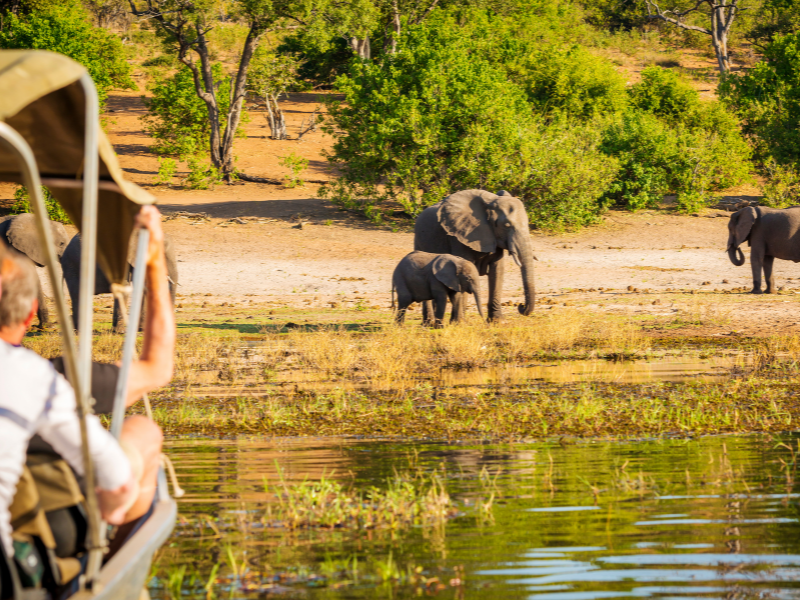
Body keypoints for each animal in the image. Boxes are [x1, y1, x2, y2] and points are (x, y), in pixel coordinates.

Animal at [416, 189, 536, 324]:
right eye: (506, 225)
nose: (521, 306)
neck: (489, 203)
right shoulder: (459, 236)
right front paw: (459, 323)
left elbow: (497, 271)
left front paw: (497, 322)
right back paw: (428, 323)